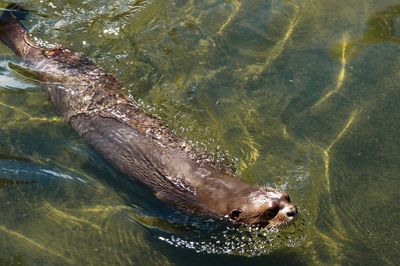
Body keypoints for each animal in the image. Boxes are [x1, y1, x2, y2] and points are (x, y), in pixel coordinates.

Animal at [0, 3, 298, 229]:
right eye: (270, 211)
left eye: (286, 196)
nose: (292, 211)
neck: (218, 186)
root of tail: (38, 53)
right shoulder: (182, 202)